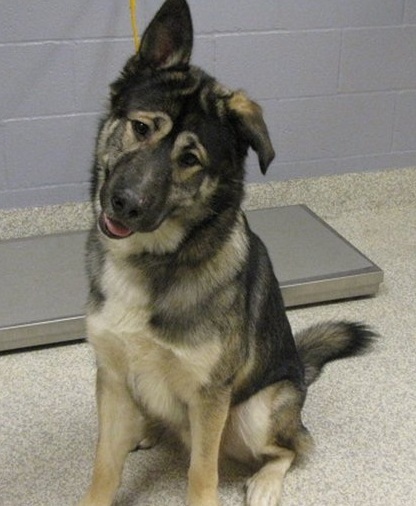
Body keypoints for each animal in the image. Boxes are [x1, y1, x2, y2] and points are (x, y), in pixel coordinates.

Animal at [78, 1, 374, 504]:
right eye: (140, 127)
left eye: (190, 159)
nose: (125, 204)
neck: (154, 260)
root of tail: (299, 373)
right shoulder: (113, 379)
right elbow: (103, 466)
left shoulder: (209, 397)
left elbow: (202, 473)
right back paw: (146, 430)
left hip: (254, 414)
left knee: (294, 446)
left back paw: (265, 482)